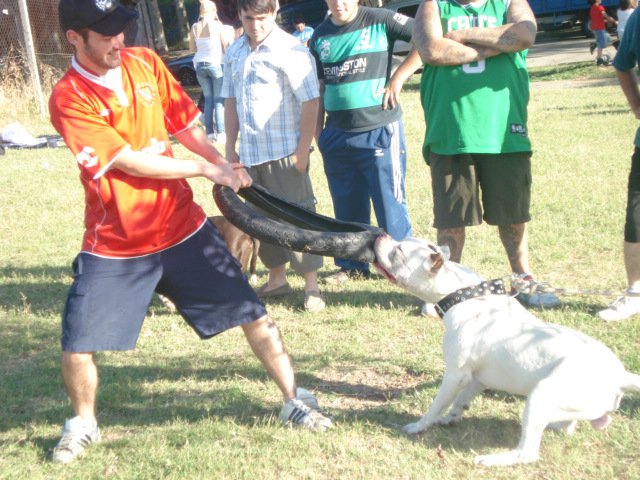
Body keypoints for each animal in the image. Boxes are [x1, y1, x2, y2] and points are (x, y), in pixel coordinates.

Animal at [372, 234, 640, 466]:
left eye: (399, 251)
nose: (381, 236)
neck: (463, 294)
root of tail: (620, 376)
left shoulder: (455, 375)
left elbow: (437, 405)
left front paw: (419, 425)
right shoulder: (476, 378)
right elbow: (461, 400)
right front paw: (452, 417)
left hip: (541, 395)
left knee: (527, 452)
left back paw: (493, 459)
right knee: (567, 426)